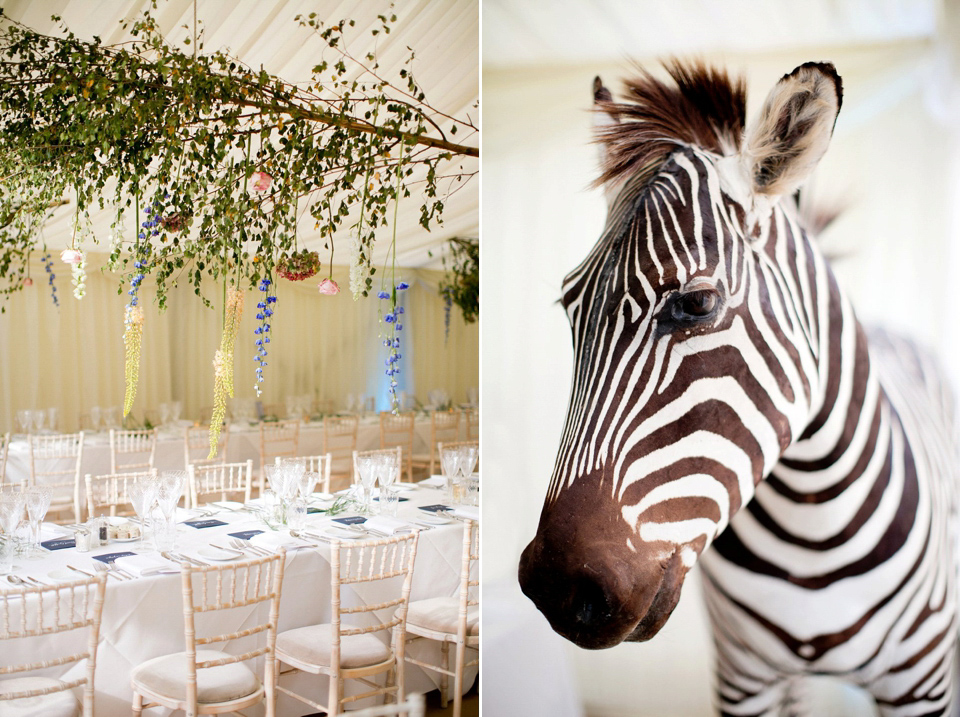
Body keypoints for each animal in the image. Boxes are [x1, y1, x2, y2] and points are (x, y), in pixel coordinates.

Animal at [516, 61, 960, 716]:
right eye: (571, 309)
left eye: (697, 304)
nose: (553, 588)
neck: (811, 531)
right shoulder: (742, 677)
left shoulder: (920, 683)